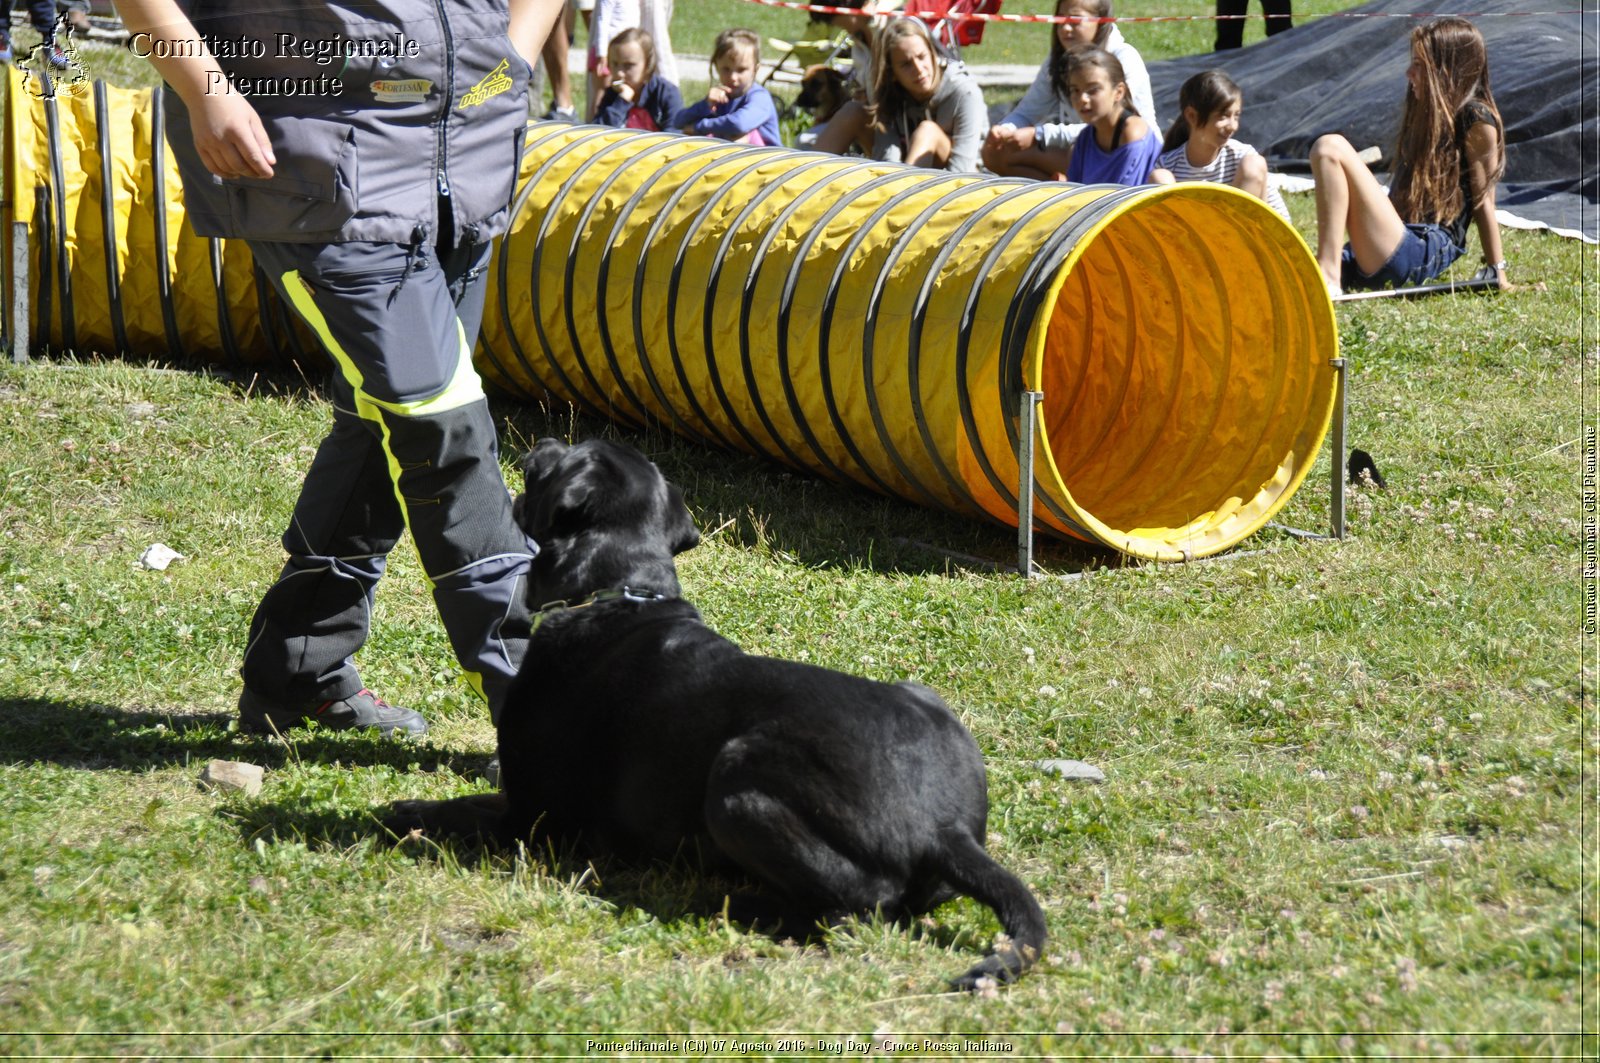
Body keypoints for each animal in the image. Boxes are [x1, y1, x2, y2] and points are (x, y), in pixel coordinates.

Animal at [380, 435, 1043, 992]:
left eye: (571, 452)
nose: (541, 440)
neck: (620, 591)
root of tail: (945, 829)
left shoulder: (533, 817)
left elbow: (458, 808)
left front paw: (405, 812)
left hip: (735, 782)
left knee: (851, 912)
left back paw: (736, 904)